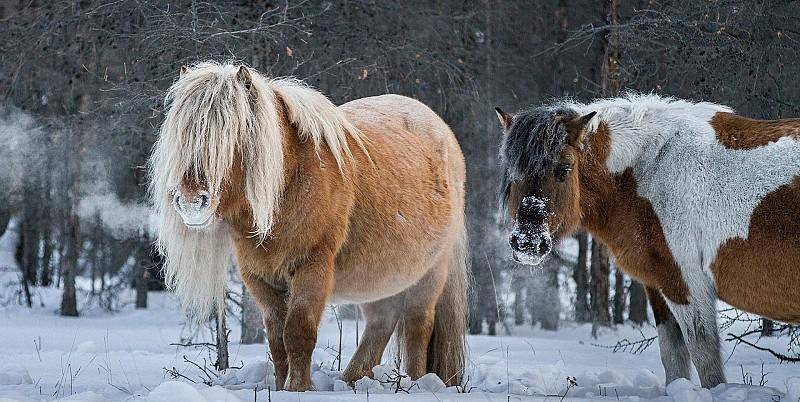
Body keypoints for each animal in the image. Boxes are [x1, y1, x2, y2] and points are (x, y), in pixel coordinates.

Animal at [150, 61, 468, 392]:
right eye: (181, 136)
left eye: (233, 135)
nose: (191, 202)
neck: (289, 185)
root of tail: (444, 134)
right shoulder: (259, 277)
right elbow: (277, 339)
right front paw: (280, 388)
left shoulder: (312, 268)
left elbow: (298, 333)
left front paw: (297, 389)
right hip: (384, 276)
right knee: (382, 321)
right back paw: (352, 380)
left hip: (430, 272)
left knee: (419, 324)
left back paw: (418, 384)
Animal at [494, 92, 800, 388]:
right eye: (512, 172)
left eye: (564, 168)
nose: (528, 242)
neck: (647, 169)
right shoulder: (658, 285)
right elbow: (673, 356)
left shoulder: (685, 284)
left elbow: (704, 357)